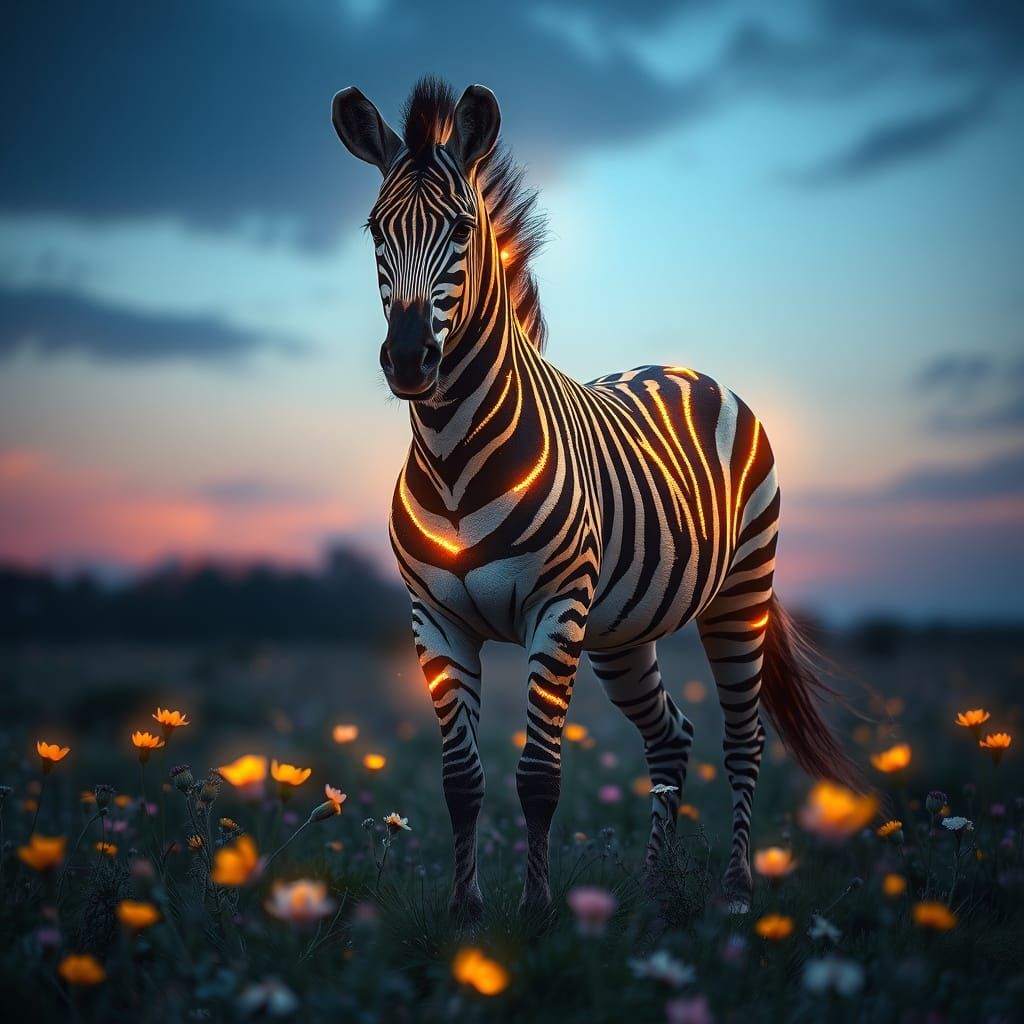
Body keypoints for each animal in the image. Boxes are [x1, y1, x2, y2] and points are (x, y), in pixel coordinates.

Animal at [331, 77, 861, 919]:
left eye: (461, 228)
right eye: (376, 230)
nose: (411, 360)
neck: (452, 455)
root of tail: (691, 370)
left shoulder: (556, 609)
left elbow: (539, 780)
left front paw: (538, 911)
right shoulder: (437, 621)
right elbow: (460, 782)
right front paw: (465, 911)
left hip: (738, 593)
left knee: (742, 739)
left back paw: (736, 890)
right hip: (622, 629)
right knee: (670, 737)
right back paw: (652, 889)